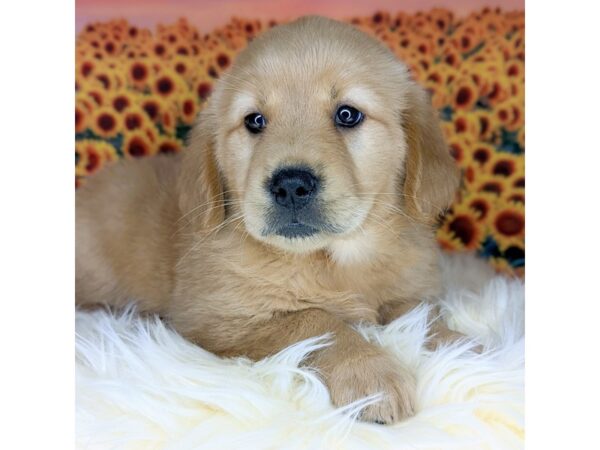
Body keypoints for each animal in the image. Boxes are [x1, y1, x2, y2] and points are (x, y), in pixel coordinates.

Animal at [75, 16, 460, 426]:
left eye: (348, 114)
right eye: (254, 121)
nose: (291, 185)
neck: (334, 261)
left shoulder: (410, 289)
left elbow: (418, 314)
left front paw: (460, 345)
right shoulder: (216, 318)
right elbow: (316, 321)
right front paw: (370, 372)